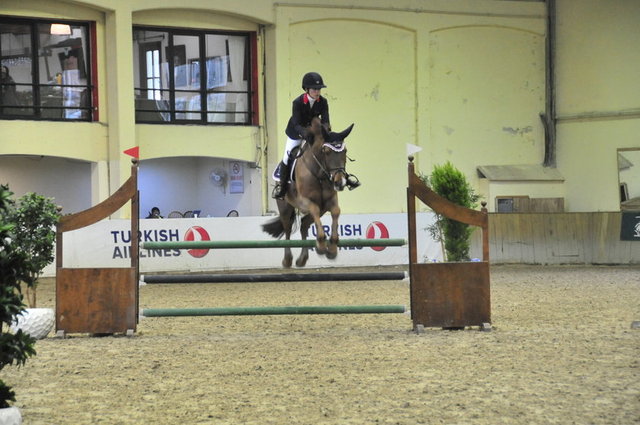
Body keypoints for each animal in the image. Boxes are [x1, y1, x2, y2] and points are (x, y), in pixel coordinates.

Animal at [262, 117, 354, 268]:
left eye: (345, 151)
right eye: (326, 152)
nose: (340, 182)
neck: (319, 174)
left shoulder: (330, 202)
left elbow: (336, 212)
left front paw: (331, 249)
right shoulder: (306, 202)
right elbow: (314, 209)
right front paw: (322, 245)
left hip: (320, 210)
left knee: (304, 225)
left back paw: (302, 259)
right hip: (285, 207)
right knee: (287, 228)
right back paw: (288, 260)